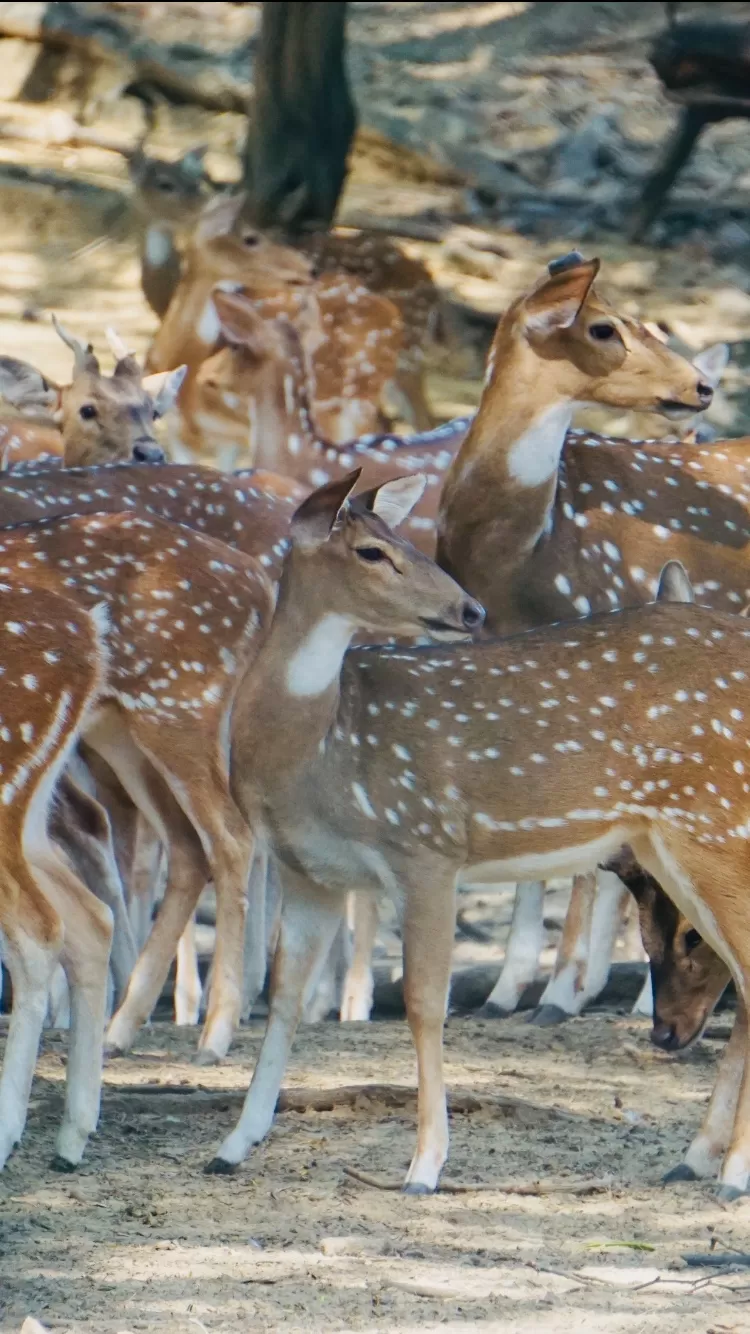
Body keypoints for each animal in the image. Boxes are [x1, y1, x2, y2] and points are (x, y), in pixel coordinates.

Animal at [206, 543, 750, 1199]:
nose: (664, 1033)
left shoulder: (426, 851)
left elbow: (423, 1000)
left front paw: (425, 1166)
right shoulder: (316, 872)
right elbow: (284, 992)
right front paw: (234, 1144)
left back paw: (728, 1171)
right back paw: (697, 1159)